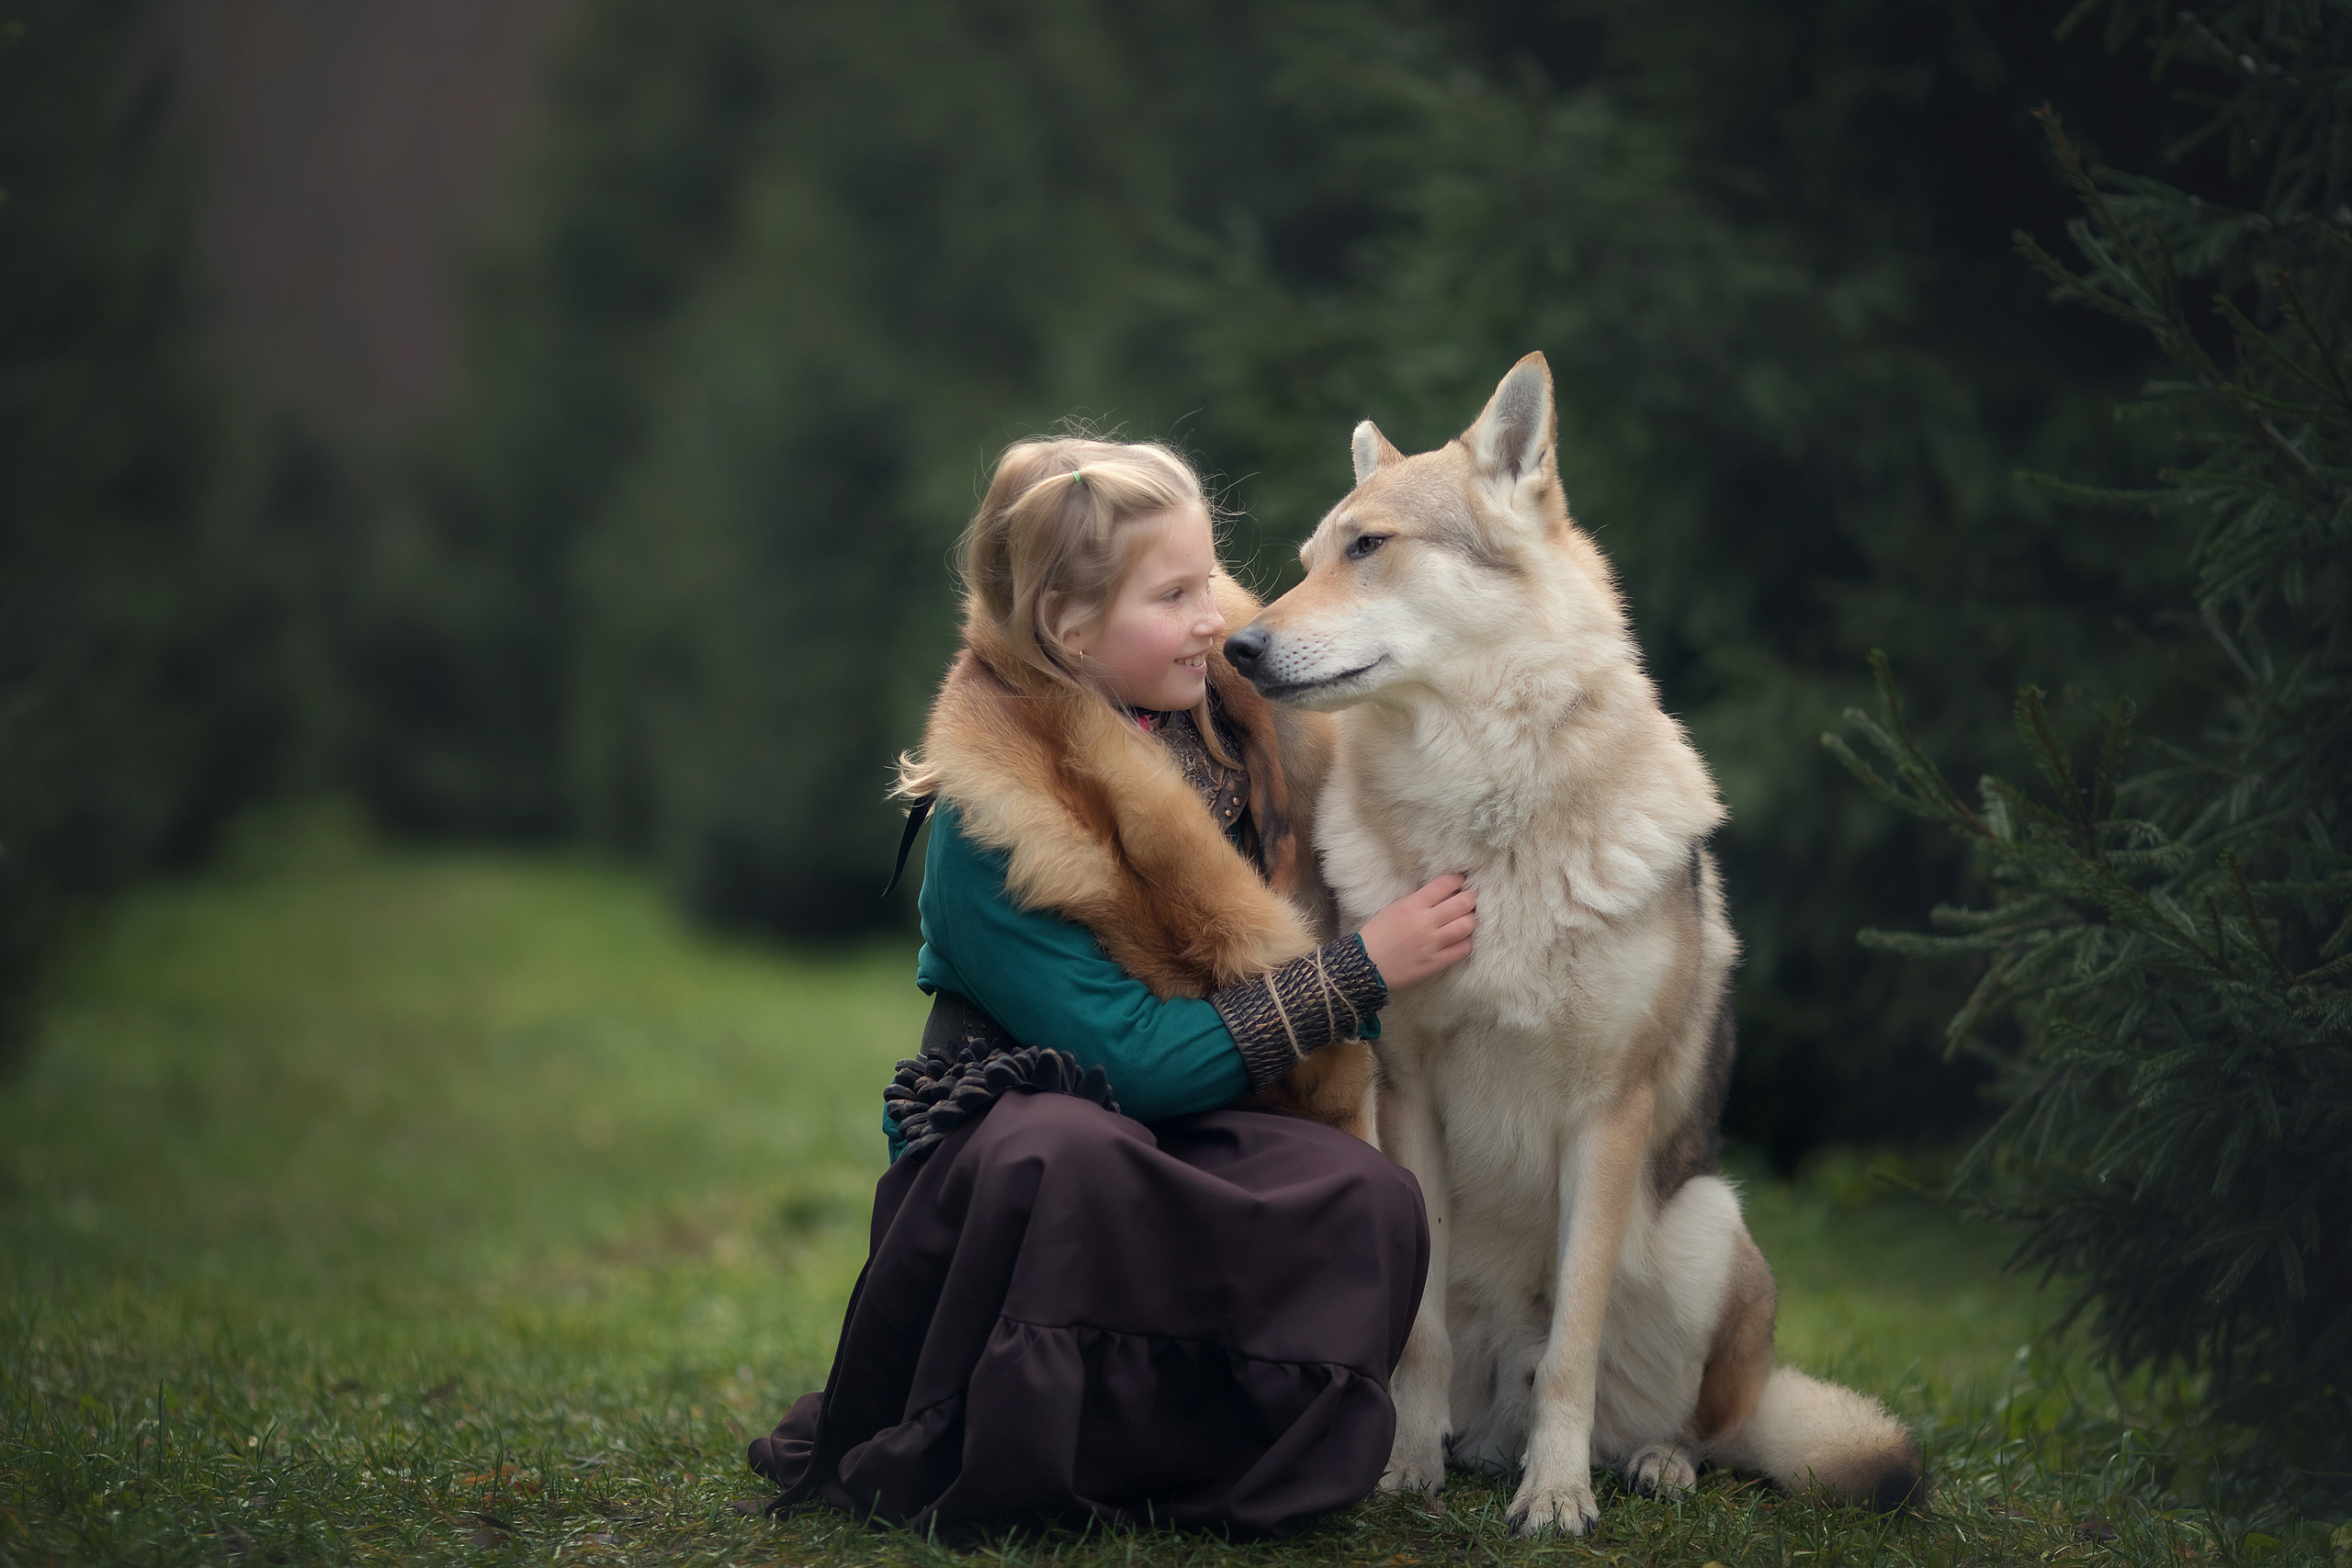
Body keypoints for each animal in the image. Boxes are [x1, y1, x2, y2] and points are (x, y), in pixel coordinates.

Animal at [1223, 353, 1923, 1535]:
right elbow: (1421, 1337)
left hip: (1709, 1225)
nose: (1237, 647)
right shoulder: (1408, 1094)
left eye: (1368, 546)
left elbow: (1572, 1350)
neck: (1489, 829)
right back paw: (1460, 1451)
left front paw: (1555, 1500)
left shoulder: (1606, 1114)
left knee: (1703, 1428)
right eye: (1310, 559)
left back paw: (1645, 1466)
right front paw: (1403, 1472)